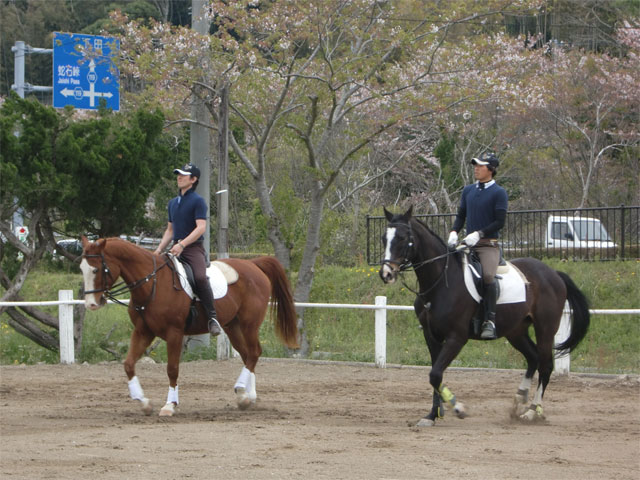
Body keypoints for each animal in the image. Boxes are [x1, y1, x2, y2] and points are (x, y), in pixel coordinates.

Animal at [80, 236, 300, 416]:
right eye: (82, 269)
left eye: (96, 269)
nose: (91, 304)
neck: (152, 283)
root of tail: (253, 264)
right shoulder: (143, 332)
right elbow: (128, 364)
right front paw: (143, 402)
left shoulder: (174, 333)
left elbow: (172, 369)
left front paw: (169, 405)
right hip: (233, 326)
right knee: (248, 355)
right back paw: (247, 397)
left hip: (249, 324)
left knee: (254, 352)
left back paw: (241, 390)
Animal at [376, 208, 592, 426]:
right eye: (384, 238)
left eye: (403, 238)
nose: (386, 274)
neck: (440, 283)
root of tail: (553, 273)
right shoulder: (431, 336)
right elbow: (435, 375)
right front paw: (432, 415)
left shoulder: (456, 338)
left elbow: (435, 374)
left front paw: (458, 408)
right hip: (516, 331)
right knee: (533, 357)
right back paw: (519, 399)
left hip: (545, 329)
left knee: (546, 366)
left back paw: (532, 411)